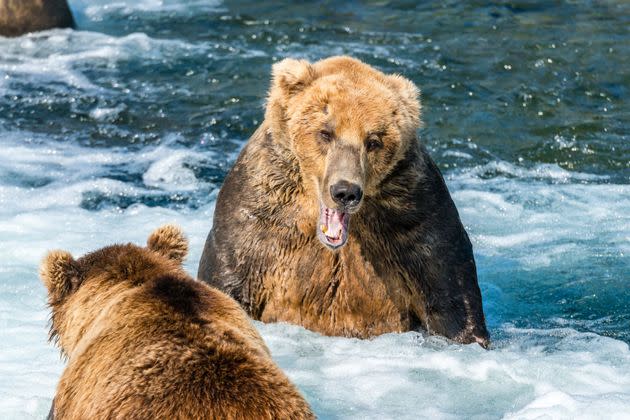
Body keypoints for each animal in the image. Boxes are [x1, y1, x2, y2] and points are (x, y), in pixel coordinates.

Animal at [200, 55, 492, 346]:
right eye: (325, 132)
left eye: (373, 140)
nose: (345, 192)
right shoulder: (261, 212)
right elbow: (231, 276)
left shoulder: (412, 210)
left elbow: (450, 292)